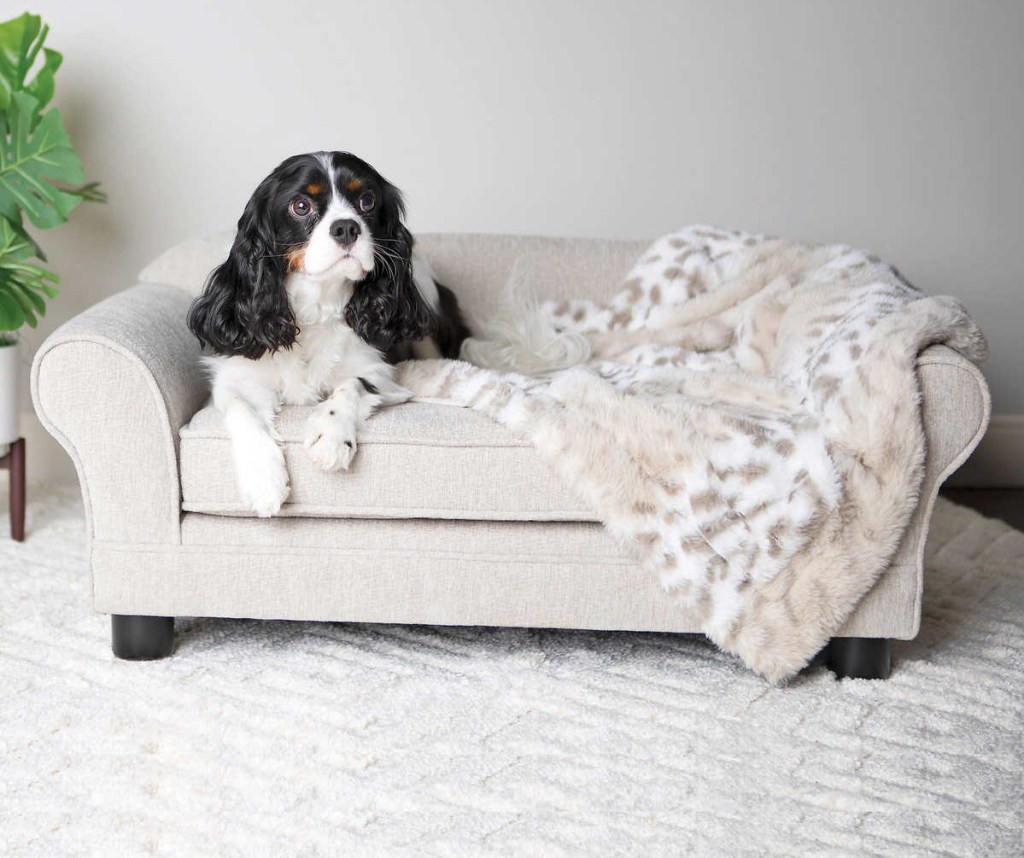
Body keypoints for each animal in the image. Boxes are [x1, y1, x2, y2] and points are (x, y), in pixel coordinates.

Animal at [187, 151, 468, 518]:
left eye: (367, 201)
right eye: (301, 206)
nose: (347, 227)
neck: (316, 303)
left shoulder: (380, 371)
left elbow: (353, 385)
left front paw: (332, 437)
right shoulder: (238, 376)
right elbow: (242, 411)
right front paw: (264, 480)